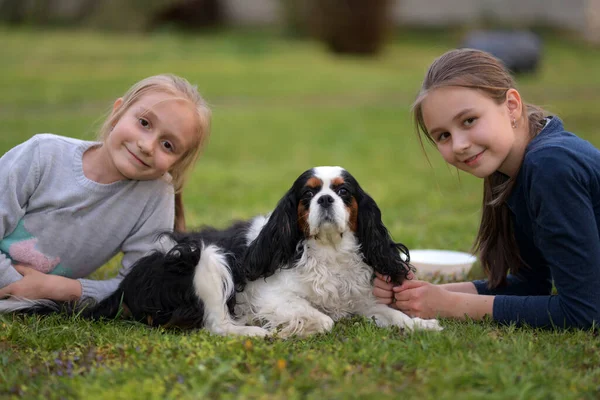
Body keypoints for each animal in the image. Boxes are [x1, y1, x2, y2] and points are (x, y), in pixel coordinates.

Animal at [0, 166, 440, 338]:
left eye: (344, 192)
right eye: (308, 195)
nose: (327, 200)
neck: (327, 251)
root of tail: (126, 283)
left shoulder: (361, 298)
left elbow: (388, 312)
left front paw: (421, 323)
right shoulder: (270, 295)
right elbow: (322, 318)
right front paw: (296, 327)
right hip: (205, 256)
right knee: (215, 325)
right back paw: (255, 333)